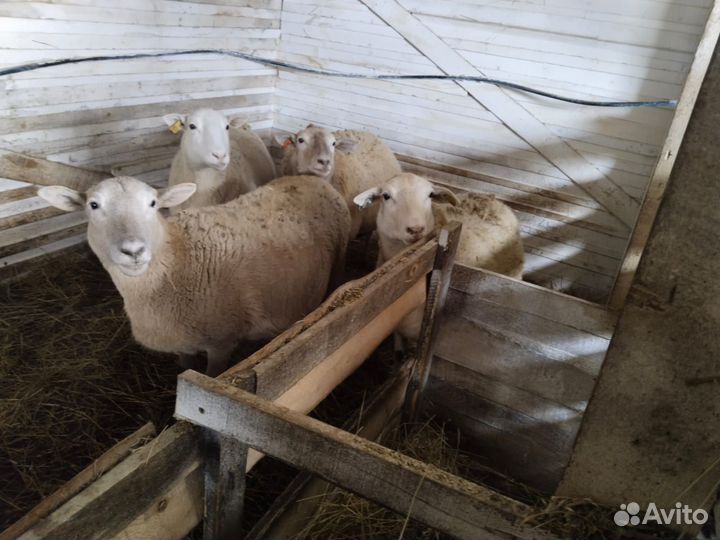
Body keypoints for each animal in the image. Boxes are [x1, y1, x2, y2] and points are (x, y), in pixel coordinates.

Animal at [37, 175, 351, 376]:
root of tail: (313, 179)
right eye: (93, 205)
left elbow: (211, 375)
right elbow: (186, 366)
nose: (133, 250)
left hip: (339, 259)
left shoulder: (222, 341)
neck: (177, 259)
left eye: (152, 204)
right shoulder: (181, 341)